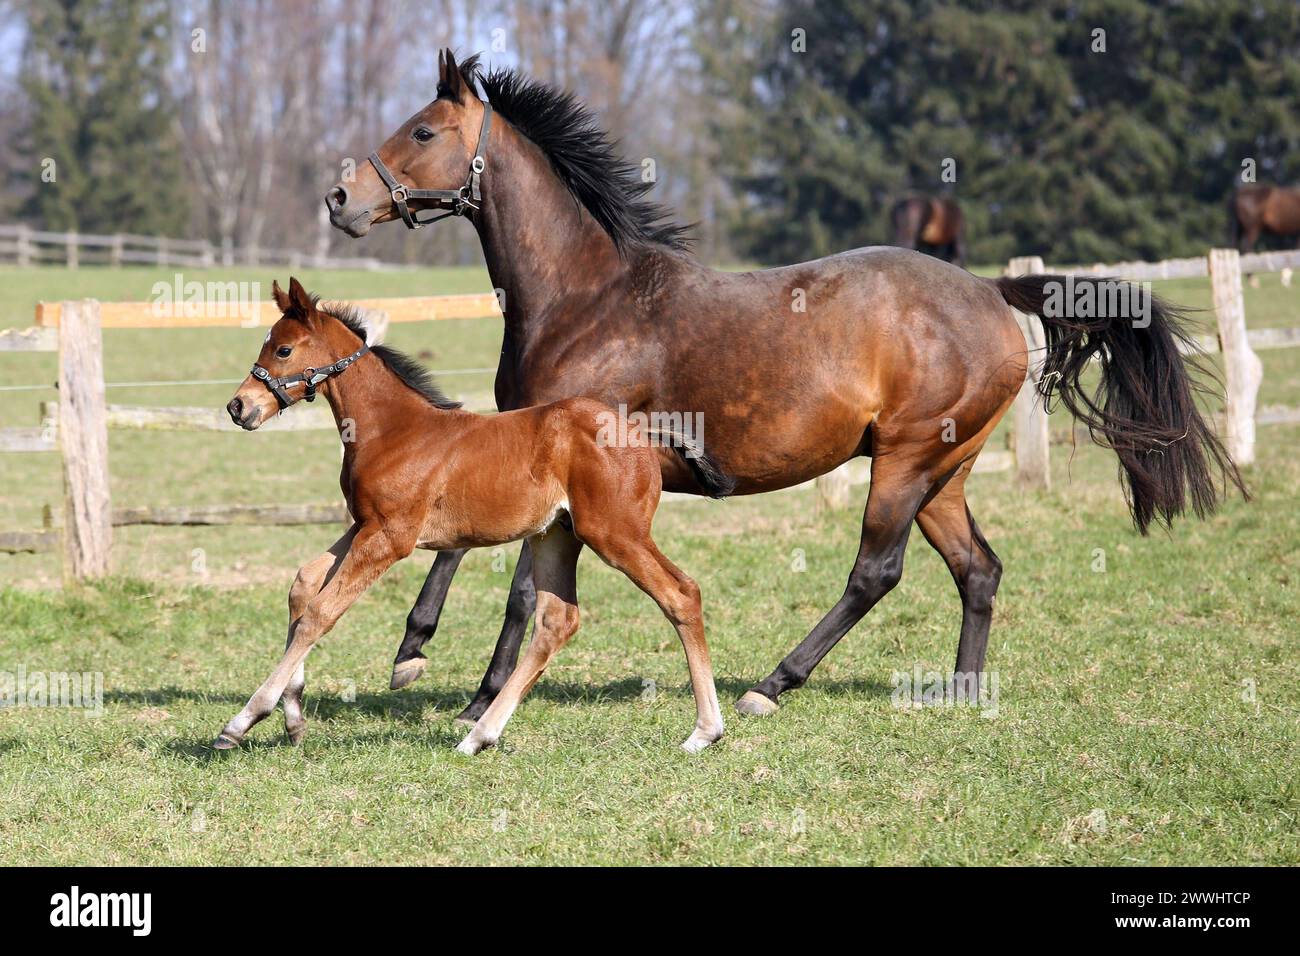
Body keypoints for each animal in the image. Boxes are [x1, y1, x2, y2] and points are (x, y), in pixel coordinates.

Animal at [213, 280, 733, 759]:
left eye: (283, 349)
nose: (239, 406)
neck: (393, 429)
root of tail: (641, 433)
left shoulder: (391, 537)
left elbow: (320, 613)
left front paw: (243, 720)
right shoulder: (364, 525)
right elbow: (303, 585)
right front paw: (292, 717)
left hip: (616, 534)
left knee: (681, 594)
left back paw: (705, 731)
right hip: (556, 536)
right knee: (556, 621)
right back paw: (479, 735)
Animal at [322, 50, 1237, 717]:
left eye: (424, 130)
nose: (340, 198)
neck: (587, 297)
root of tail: (988, 291)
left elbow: (514, 587)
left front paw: (452, 682)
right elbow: (472, 546)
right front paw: (421, 658)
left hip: (902, 464)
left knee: (876, 573)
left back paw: (772, 685)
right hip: (944, 471)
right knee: (978, 568)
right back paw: (962, 692)